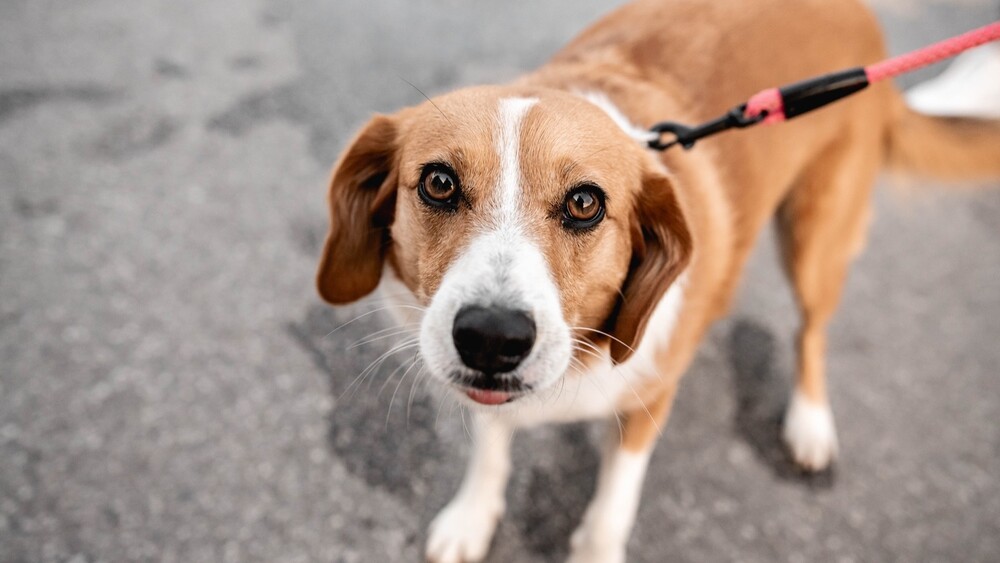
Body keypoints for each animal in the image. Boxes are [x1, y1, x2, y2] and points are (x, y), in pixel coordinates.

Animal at [314, 2, 1000, 560]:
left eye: (585, 203)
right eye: (438, 183)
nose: (491, 338)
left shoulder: (650, 400)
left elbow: (610, 509)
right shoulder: (488, 397)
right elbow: (491, 447)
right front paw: (472, 517)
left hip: (815, 239)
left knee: (811, 332)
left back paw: (809, 423)